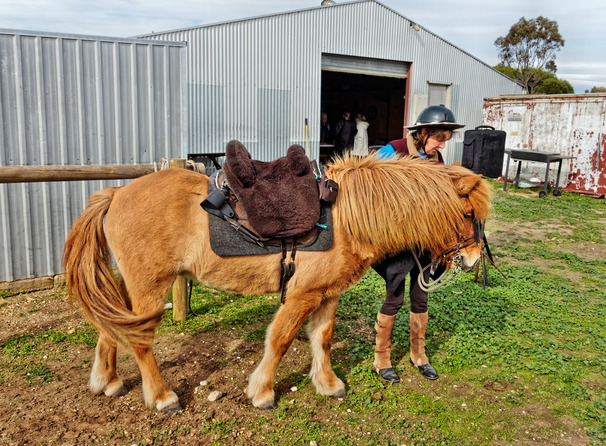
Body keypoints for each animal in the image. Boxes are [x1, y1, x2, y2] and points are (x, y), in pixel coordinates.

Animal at [63, 153, 490, 412]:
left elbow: (322, 339)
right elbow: (281, 340)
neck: (346, 219)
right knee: (139, 340)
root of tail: (117, 192)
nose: (472, 260)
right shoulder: (300, 296)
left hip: (131, 286)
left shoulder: (326, 295)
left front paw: (328, 384)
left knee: (111, 328)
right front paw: (263, 392)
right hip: (150, 287)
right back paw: (162, 396)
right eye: (468, 213)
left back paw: (108, 381)